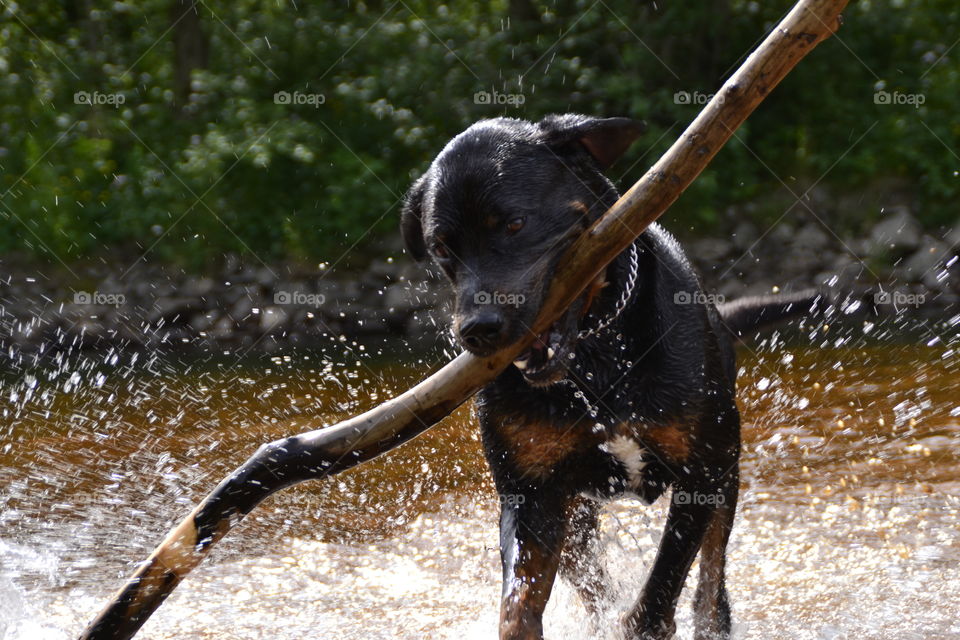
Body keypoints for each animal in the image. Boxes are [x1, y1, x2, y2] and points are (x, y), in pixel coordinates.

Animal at [402, 116, 812, 640]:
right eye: (440, 248)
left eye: (514, 223)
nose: (477, 330)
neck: (595, 361)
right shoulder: (531, 494)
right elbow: (519, 602)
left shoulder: (701, 468)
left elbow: (667, 576)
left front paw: (646, 622)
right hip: (575, 513)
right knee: (592, 579)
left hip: (726, 463)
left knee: (711, 575)